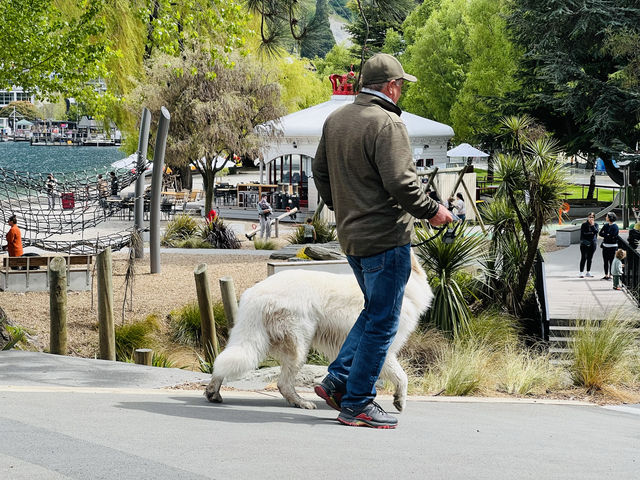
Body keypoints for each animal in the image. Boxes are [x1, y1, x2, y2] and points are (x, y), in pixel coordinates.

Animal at [208, 249, 432, 410]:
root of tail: (256, 293)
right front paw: (399, 400)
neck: (406, 291)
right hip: (299, 345)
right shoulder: (382, 348)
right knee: (283, 383)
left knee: (224, 361)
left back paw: (213, 391)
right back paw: (301, 402)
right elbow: (402, 375)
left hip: (250, 337)